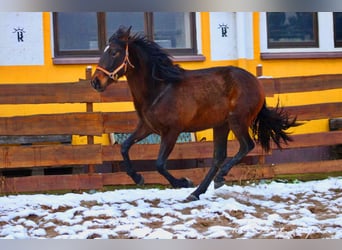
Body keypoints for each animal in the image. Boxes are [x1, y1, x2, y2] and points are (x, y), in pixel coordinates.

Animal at [90, 25, 296, 201]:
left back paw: (218, 179)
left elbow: (159, 163)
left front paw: (183, 182)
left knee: (246, 146)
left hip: (237, 121)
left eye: (114, 52)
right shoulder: (147, 127)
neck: (159, 89)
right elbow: (124, 147)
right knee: (218, 157)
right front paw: (138, 178)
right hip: (221, 125)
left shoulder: (172, 131)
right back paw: (197, 192)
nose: (95, 82)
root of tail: (257, 83)